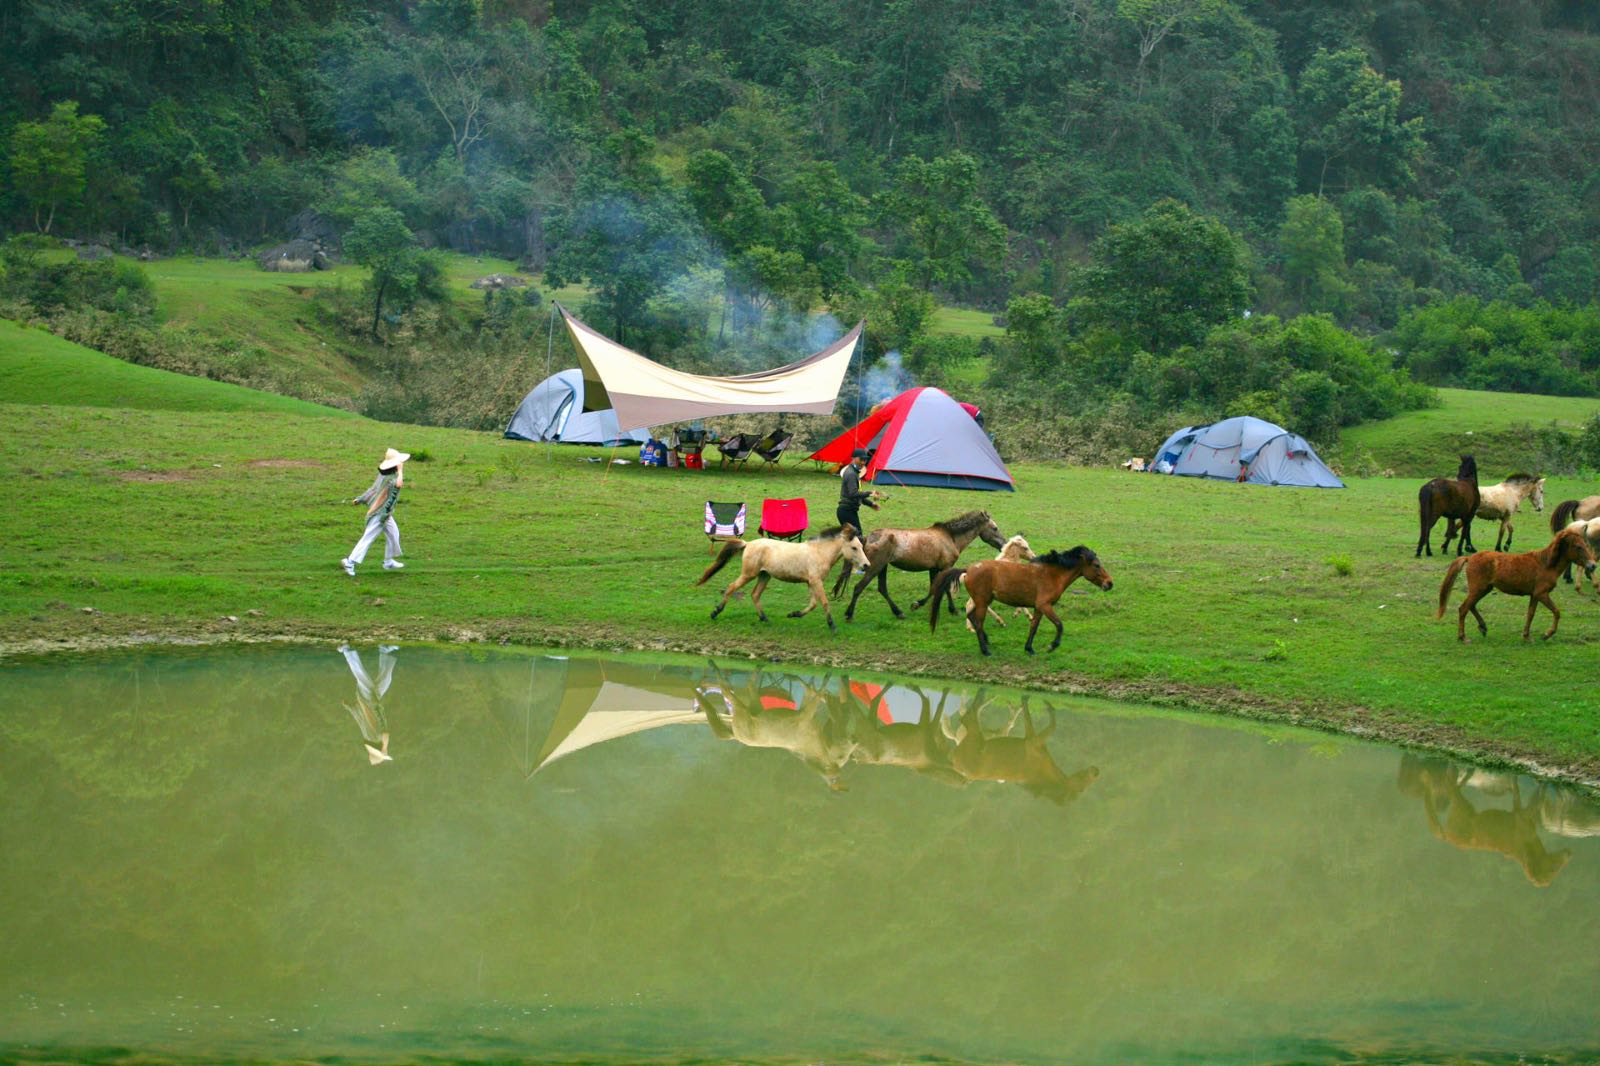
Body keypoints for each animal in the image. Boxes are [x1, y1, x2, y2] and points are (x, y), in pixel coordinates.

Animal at [832, 508, 1004, 617]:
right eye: (995, 528)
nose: (1003, 544)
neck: (951, 537)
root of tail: (868, 538)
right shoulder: (945, 567)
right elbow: (944, 588)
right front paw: (952, 610)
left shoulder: (933, 568)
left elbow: (934, 588)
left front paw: (918, 605)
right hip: (875, 567)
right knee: (859, 587)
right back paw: (849, 614)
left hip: (882, 567)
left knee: (882, 589)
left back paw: (898, 612)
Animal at [928, 544, 1113, 653]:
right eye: (1096, 565)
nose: (1109, 583)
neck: (1052, 575)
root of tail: (968, 570)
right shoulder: (1045, 605)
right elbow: (1059, 625)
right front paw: (1052, 646)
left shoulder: (1038, 608)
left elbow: (1034, 627)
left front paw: (1029, 648)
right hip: (982, 602)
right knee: (978, 622)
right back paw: (985, 650)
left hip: (983, 601)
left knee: (971, 617)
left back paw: (987, 641)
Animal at [1440, 524, 1600, 640]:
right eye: (1578, 547)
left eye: (1586, 545)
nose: (1592, 566)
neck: (1546, 564)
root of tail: (1469, 558)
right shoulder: (1541, 594)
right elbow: (1556, 611)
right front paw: (1547, 634)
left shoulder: (1534, 595)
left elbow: (1531, 614)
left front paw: (1526, 636)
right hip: (1479, 589)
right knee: (1464, 608)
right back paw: (1463, 637)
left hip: (1484, 589)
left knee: (1471, 606)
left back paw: (1483, 627)